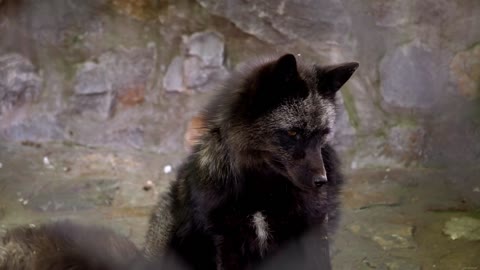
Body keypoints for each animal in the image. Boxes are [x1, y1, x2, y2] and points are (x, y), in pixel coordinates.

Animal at [144, 53, 358, 268]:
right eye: (293, 133)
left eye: (323, 133)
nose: (321, 181)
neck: (262, 191)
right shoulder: (226, 241)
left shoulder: (312, 233)